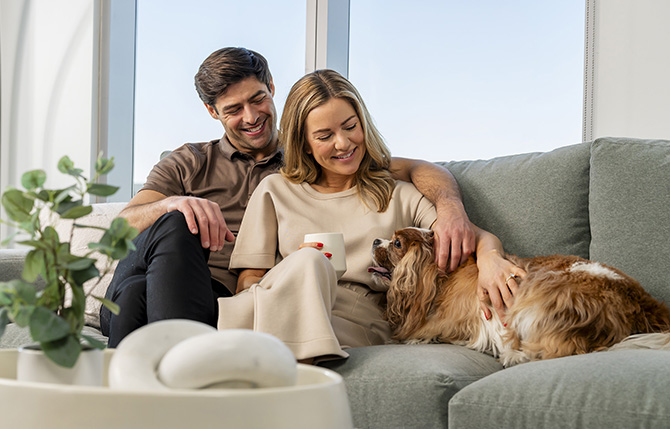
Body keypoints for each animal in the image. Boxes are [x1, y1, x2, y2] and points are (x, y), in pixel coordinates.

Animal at [370, 227, 670, 364]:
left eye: (397, 243)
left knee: (560, 349)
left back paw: (514, 355)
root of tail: (641, 302)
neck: (440, 274)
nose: (374, 240)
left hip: (539, 298)